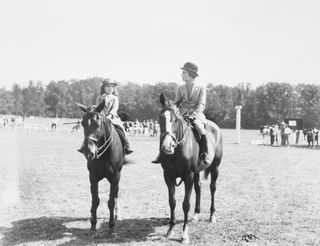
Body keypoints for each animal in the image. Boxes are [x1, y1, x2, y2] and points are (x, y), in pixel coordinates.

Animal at [75, 100, 124, 236]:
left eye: (98, 124)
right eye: (83, 123)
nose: (88, 152)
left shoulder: (115, 177)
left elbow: (111, 201)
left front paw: (112, 228)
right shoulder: (93, 176)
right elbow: (95, 200)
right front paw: (93, 226)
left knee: (116, 193)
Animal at [158, 94, 222, 244]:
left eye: (176, 119)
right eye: (160, 118)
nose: (166, 147)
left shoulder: (188, 176)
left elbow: (185, 204)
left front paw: (184, 235)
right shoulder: (168, 176)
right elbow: (172, 202)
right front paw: (170, 230)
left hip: (215, 168)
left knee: (212, 188)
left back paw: (212, 215)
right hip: (197, 172)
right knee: (198, 187)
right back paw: (196, 214)